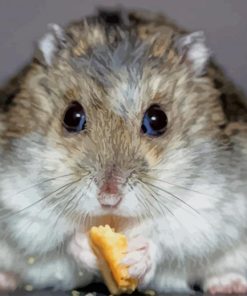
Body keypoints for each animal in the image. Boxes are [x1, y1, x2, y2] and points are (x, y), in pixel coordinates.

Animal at [0, 6, 247, 294]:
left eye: (157, 120)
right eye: (72, 117)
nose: (109, 198)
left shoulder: (210, 206)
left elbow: (168, 238)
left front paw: (136, 257)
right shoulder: (20, 203)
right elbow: (58, 239)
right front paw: (85, 245)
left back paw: (230, 284)